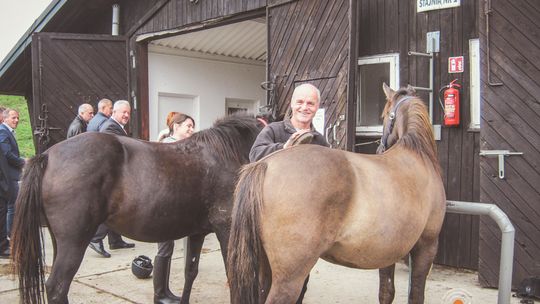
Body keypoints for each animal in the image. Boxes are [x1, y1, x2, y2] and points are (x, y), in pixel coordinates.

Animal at [11, 114, 264, 304]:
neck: (228, 154)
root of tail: (46, 155)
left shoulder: (197, 232)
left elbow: (190, 273)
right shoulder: (227, 229)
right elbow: (236, 276)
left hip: (59, 240)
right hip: (74, 240)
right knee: (57, 287)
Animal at [226, 83, 446, 304]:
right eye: (384, 115)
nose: (380, 147)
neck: (417, 157)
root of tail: (265, 163)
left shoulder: (389, 252)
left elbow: (386, 292)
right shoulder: (426, 246)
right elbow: (416, 294)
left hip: (265, 269)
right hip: (289, 278)